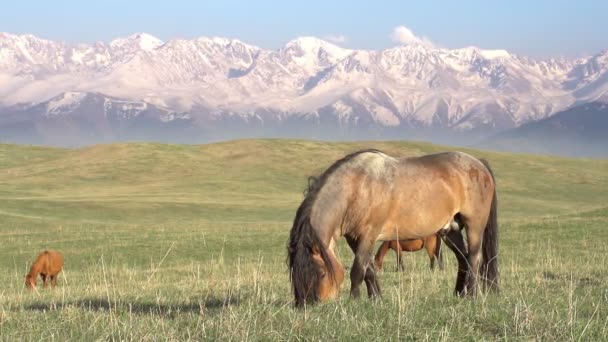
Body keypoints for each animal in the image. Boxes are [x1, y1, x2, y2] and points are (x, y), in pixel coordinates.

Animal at [288, 150, 496, 308]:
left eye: (322, 273)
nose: (308, 305)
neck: (356, 187)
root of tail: (479, 163)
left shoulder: (368, 235)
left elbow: (358, 269)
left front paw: (354, 301)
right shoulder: (354, 239)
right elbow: (369, 269)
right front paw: (376, 299)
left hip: (474, 225)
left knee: (474, 258)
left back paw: (472, 296)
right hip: (450, 230)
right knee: (463, 259)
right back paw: (459, 294)